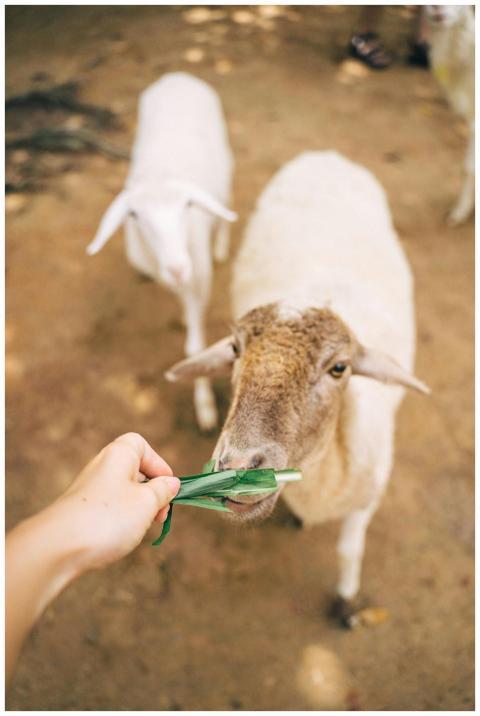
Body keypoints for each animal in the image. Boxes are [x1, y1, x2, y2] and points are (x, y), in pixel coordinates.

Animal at [86, 72, 236, 431]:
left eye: (187, 206)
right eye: (134, 215)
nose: (178, 268)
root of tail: (178, 76)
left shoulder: (201, 276)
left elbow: (195, 346)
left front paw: (205, 407)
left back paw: (221, 245)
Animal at [165, 151, 429, 626]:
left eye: (340, 368)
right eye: (235, 349)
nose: (239, 468)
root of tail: (327, 155)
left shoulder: (366, 499)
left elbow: (349, 550)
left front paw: (345, 600)